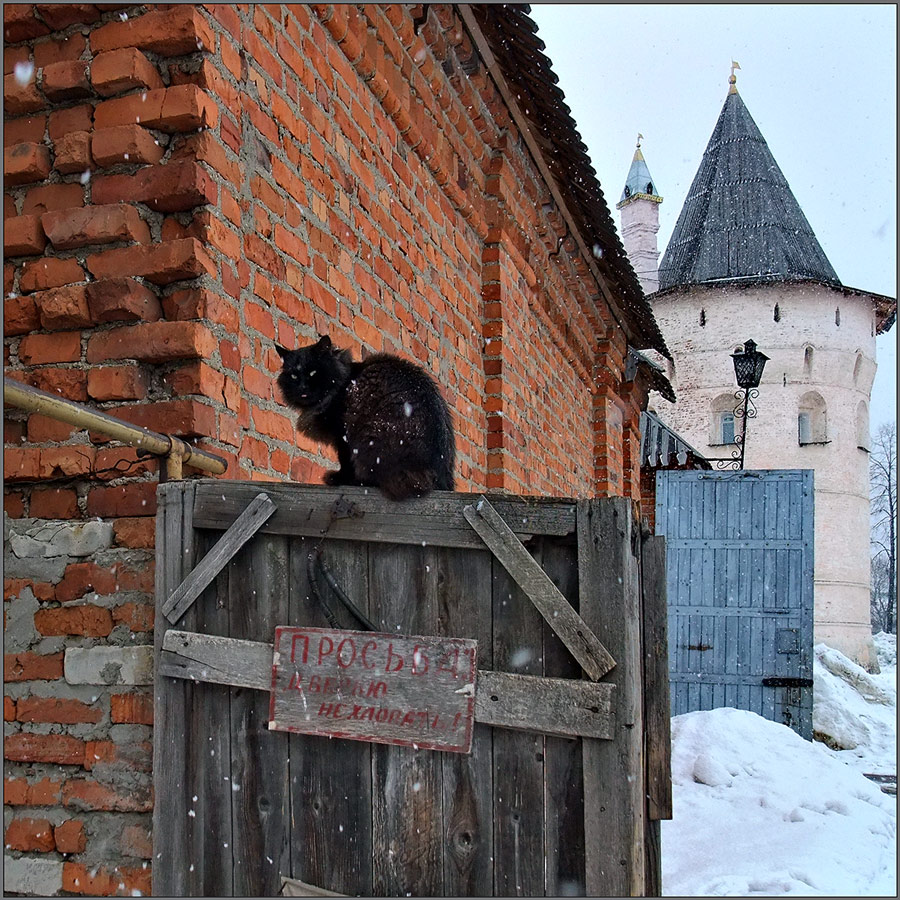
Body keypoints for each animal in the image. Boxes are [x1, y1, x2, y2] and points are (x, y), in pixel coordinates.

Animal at [276, 336, 458, 502]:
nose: (302, 388)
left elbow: (346, 461)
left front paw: (339, 479)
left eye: (313, 372)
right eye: (293, 376)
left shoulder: (343, 435)